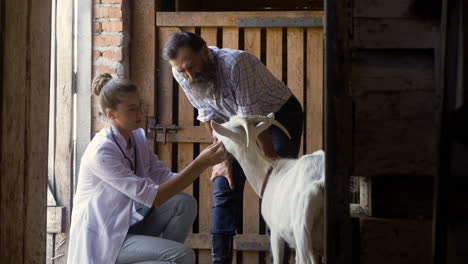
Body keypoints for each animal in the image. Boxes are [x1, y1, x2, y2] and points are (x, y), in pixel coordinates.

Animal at [210, 113, 324, 264]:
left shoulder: (276, 232)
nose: (213, 132)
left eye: (227, 127)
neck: (268, 173)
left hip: (302, 230)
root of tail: (320, 181)